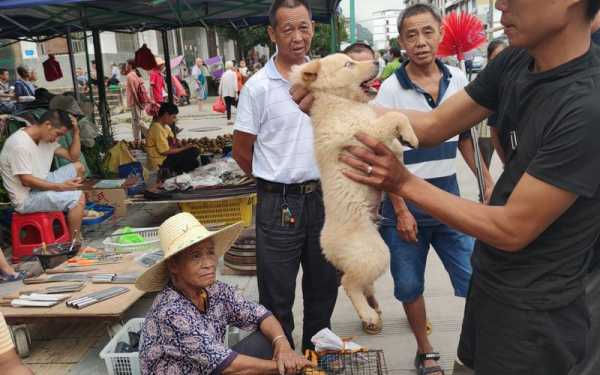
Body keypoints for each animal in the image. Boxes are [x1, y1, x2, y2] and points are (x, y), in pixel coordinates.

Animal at [290, 54, 418, 334]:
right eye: (348, 64)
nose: (378, 61)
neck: (342, 103)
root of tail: (327, 247)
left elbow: (394, 144)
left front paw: (404, 141)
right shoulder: (363, 134)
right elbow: (394, 115)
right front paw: (410, 135)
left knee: (360, 283)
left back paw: (373, 306)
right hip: (375, 253)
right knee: (349, 283)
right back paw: (368, 313)